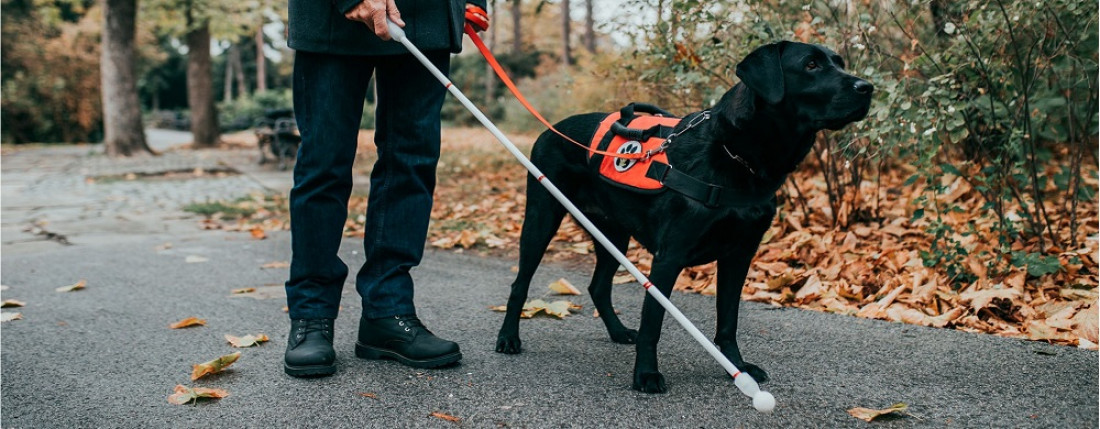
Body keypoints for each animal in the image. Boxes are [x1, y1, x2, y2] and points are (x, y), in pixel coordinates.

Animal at [495, 41, 871, 393]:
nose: (867, 87)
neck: (734, 155)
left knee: (598, 286)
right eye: (811, 65)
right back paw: (508, 338)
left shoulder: (739, 255)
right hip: (542, 219)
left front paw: (737, 368)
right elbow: (653, 322)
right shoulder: (669, 257)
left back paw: (617, 332)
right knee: (520, 283)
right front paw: (646, 375)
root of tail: (550, 129)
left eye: (839, 63)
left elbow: (728, 321)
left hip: (613, 234)